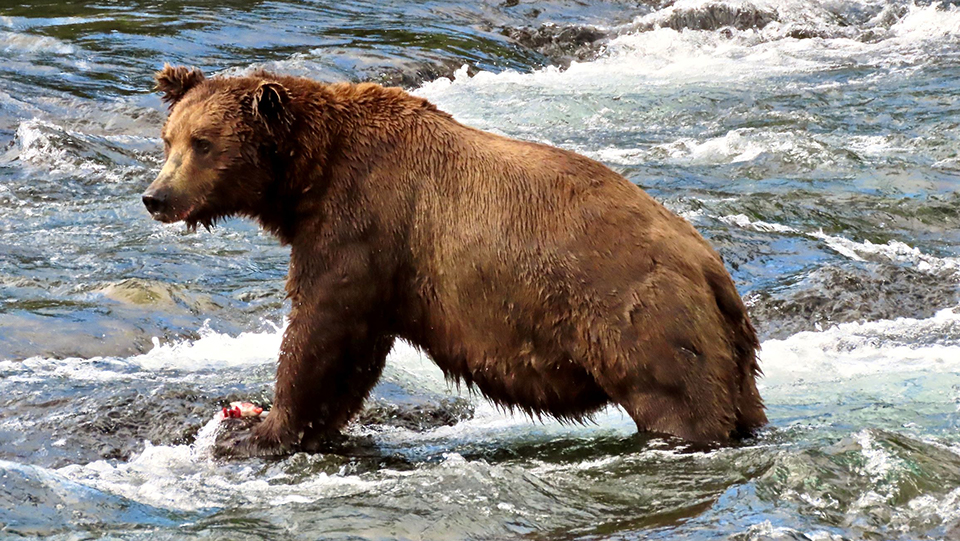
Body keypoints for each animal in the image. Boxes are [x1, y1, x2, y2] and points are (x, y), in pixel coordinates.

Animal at [142, 64, 766, 455]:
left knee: (678, 399)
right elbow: (351, 357)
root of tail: (709, 265)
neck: (308, 180)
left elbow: (323, 333)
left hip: (640, 318)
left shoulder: (364, 228)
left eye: (203, 143)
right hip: (730, 347)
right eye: (168, 139)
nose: (156, 197)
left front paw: (259, 431)